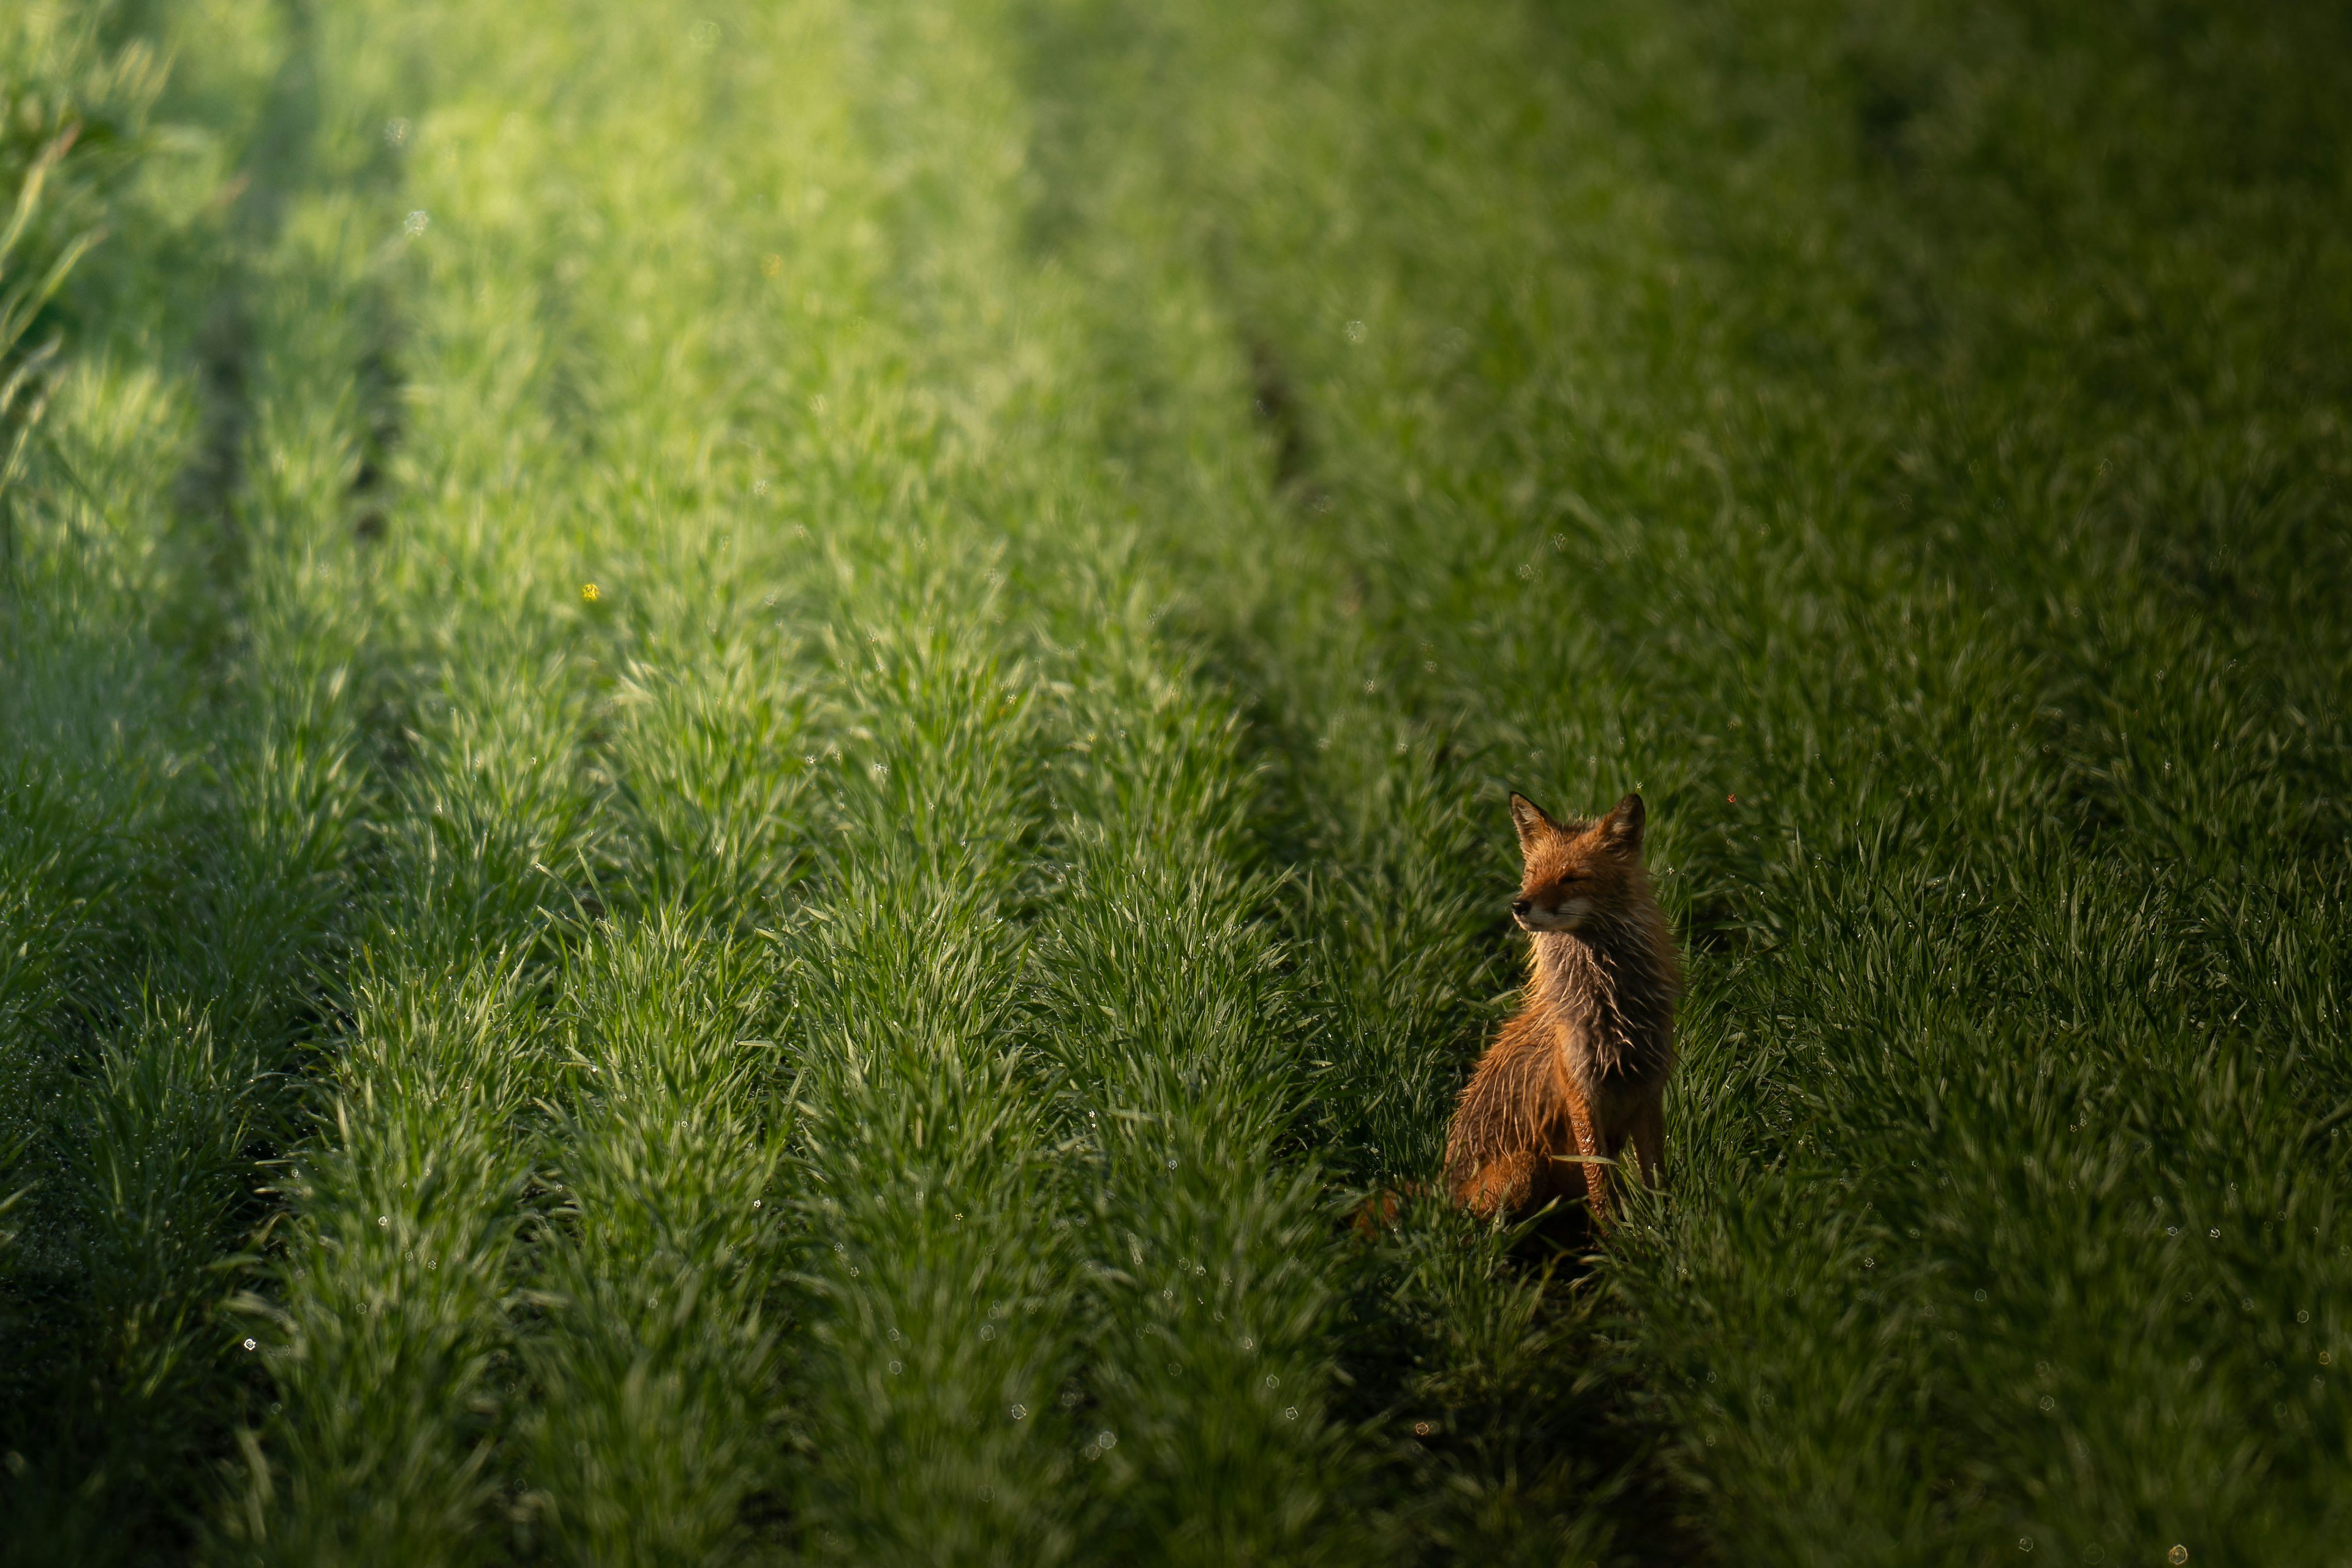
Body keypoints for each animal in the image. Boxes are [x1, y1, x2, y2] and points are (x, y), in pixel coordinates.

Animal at [1439, 790, 1684, 1232]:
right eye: (1533, 874)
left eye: (1572, 878)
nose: (1519, 905)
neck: (1611, 1009)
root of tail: (1440, 1187)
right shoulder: (1580, 1088)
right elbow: (1599, 1177)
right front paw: (1612, 1238)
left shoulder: (1649, 1086)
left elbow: (1656, 1177)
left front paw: (1664, 1227)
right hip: (1524, 1168)